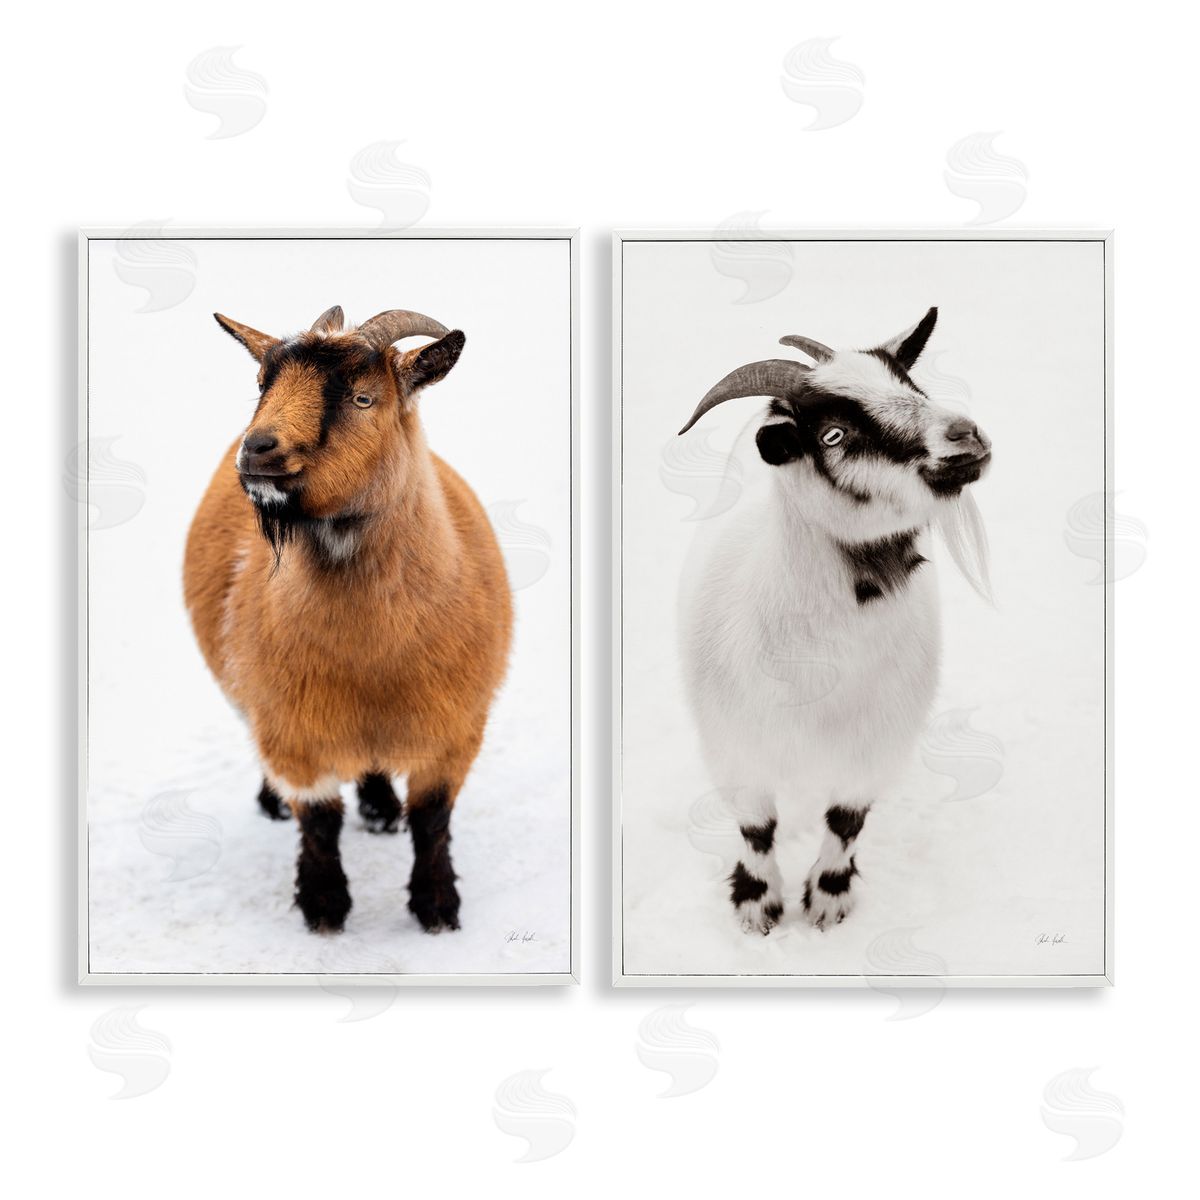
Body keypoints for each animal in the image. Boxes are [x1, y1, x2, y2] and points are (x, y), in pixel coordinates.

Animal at [184, 305, 512, 934]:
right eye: (262, 383)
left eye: (363, 398)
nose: (257, 449)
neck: (372, 658)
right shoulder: (293, 730)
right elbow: (319, 822)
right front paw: (324, 907)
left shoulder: (455, 729)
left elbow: (432, 820)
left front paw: (437, 909)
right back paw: (275, 804)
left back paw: (381, 807)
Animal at [676, 307, 991, 934]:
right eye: (834, 435)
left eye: (913, 388)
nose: (964, 435)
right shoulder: (733, 747)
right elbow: (756, 828)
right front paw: (757, 906)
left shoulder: (876, 746)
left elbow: (846, 822)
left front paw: (827, 900)